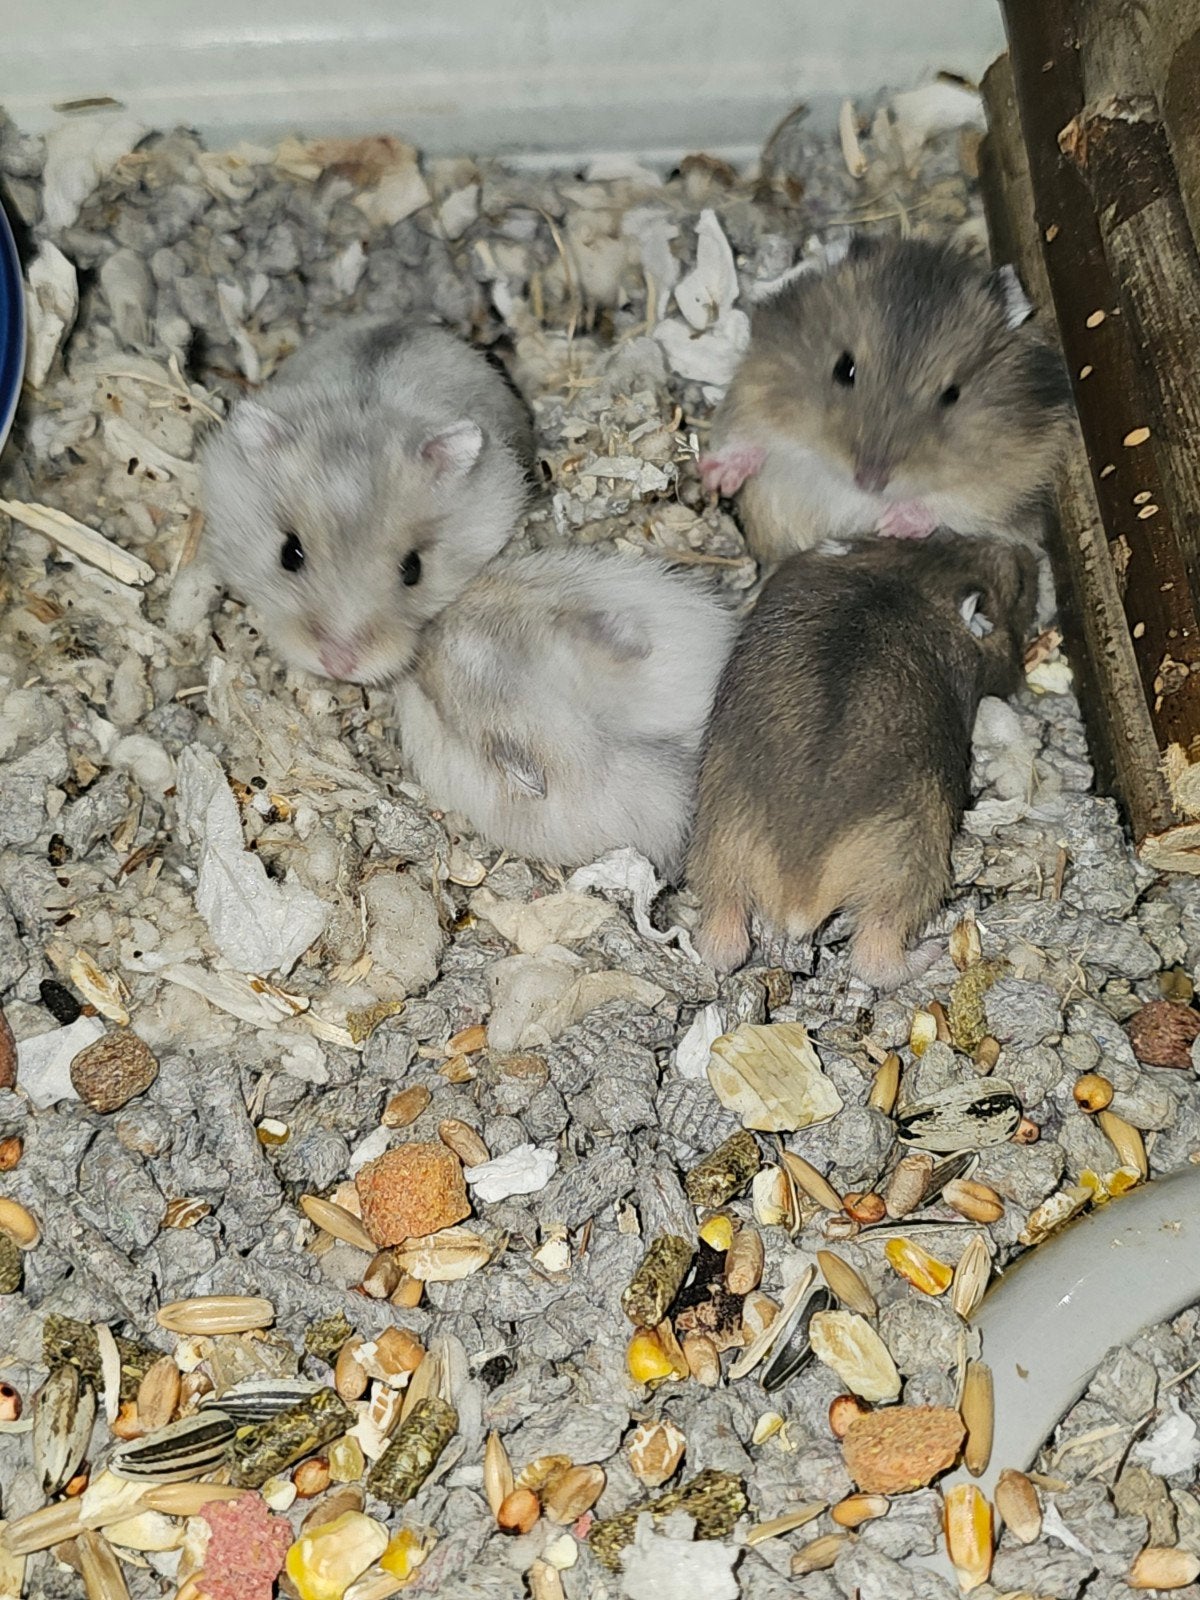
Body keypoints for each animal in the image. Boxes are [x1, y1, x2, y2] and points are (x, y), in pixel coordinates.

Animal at [688, 533, 1037, 987]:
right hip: (907, 874)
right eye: (1018, 587)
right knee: (875, 955)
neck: (913, 581)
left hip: (719, 853)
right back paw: (933, 950)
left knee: (723, 943)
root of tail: (798, 888)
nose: (1020, 551)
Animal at [699, 234, 1072, 561]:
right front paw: (715, 478)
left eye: (952, 394)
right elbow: (747, 434)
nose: (869, 482)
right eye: (844, 368)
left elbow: (957, 502)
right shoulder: (756, 383)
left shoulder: (1014, 477)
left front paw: (890, 525)